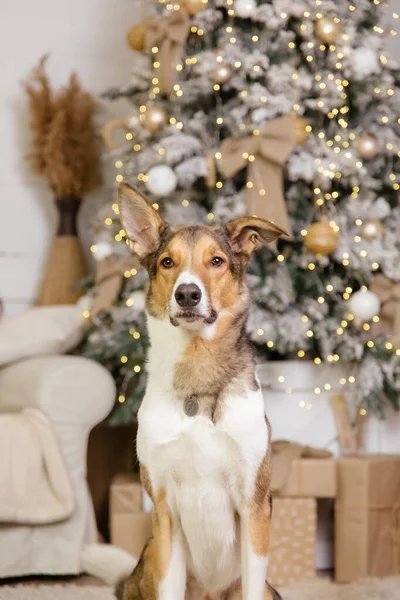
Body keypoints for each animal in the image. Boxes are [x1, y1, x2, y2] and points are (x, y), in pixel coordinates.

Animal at [117, 183, 282, 600]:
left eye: (217, 261)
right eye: (167, 263)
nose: (187, 294)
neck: (198, 373)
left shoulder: (254, 504)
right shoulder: (162, 506)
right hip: (146, 558)